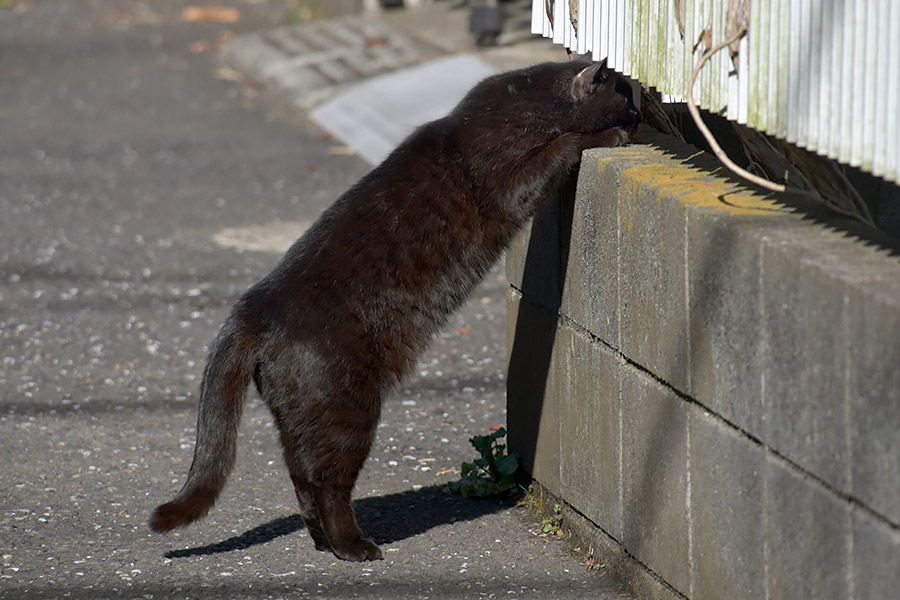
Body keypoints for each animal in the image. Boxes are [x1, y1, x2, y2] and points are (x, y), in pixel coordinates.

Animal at [149, 58, 640, 560]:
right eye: (624, 94)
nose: (641, 112)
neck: (522, 104)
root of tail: (254, 306)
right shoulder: (510, 181)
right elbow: (562, 146)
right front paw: (609, 136)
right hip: (347, 409)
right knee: (327, 484)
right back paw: (354, 546)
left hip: (297, 419)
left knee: (302, 480)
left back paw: (324, 544)